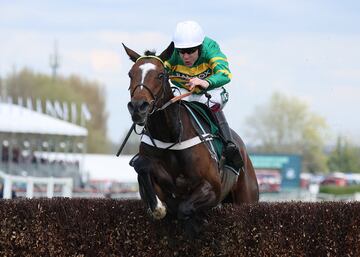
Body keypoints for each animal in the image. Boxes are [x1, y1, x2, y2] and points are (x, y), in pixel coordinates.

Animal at [124, 41, 258, 234]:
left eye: (160, 75)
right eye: (130, 74)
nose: (138, 107)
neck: (171, 137)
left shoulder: (213, 188)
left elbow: (184, 208)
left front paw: (197, 224)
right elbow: (144, 171)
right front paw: (159, 207)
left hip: (247, 197)